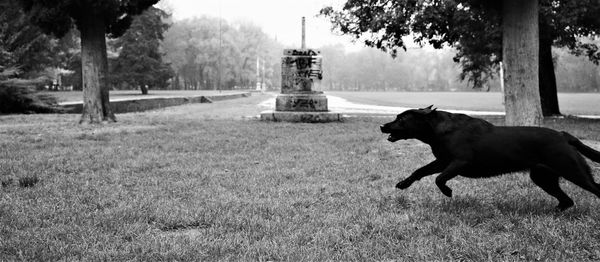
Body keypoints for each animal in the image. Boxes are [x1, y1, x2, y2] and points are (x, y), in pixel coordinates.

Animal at [380, 105, 600, 210]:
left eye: (401, 118)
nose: (382, 126)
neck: (438, 130)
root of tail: (564, 135)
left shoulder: (460, 161)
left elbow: (439, 178)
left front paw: (448, 192)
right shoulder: (442, 161)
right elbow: (420, 171)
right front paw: (403, 184)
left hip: (573, 171)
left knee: (594, 190)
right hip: (543, 177)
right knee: (567, 201)